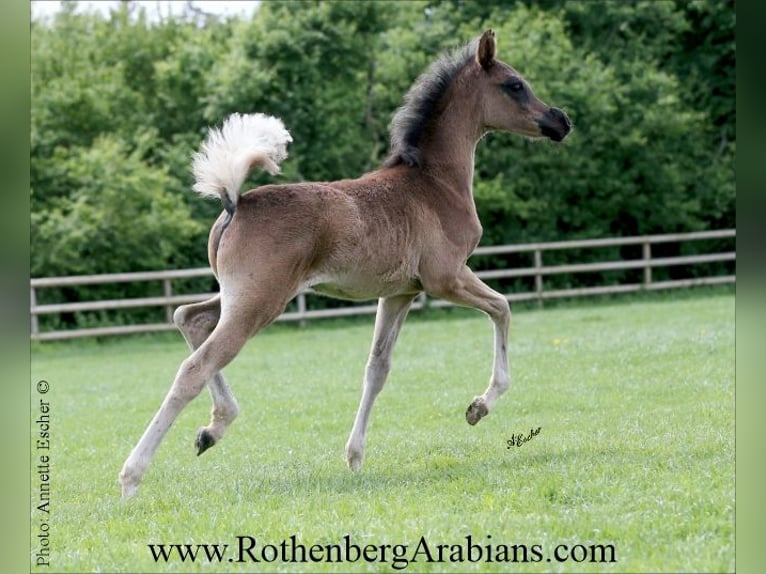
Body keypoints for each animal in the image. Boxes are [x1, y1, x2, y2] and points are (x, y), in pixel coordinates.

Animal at [119, 29, 571, 498]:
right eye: (514, 84)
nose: (560, 120)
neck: (434, 184)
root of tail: (235, 202)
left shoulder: (400, 293)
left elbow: (377, 368)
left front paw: (354, 457)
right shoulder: (446, 278)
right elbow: (502, 307)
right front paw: (479, 406)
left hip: (239, 296)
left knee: (189, 317)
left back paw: (212, 429)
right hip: (259, 302)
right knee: (196, 365)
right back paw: (132, 477)